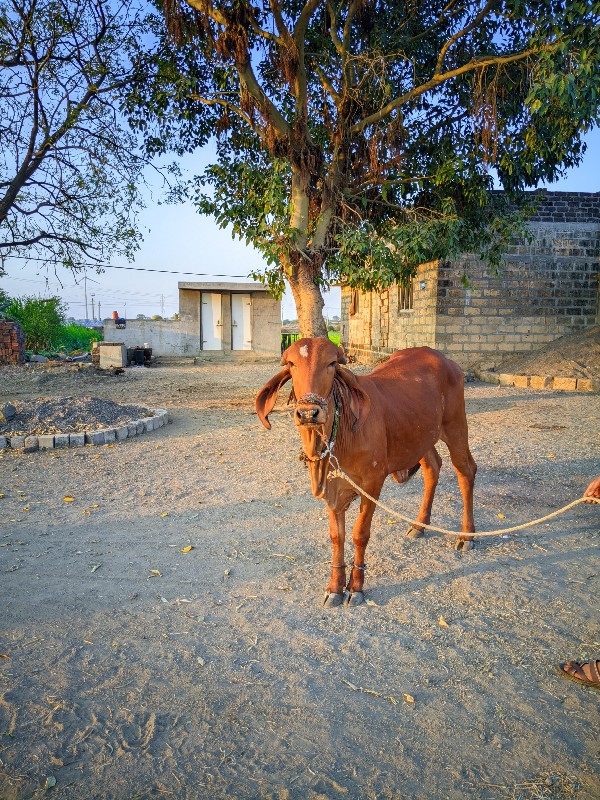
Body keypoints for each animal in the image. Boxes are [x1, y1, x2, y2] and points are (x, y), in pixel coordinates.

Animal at [255, 336, 476, 608]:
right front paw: (335, 587)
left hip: (456, 427)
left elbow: (360, 534)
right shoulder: (333, 489)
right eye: (291, 364)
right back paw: (419, 525)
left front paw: (356, 587)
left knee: (466, 470)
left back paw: (467, 536)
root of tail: (446, 360)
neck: (338, 437)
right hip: (421, 437)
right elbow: (336, 536)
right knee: (433, 468)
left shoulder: (372, 483)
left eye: (331, 363)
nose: (308, 412)